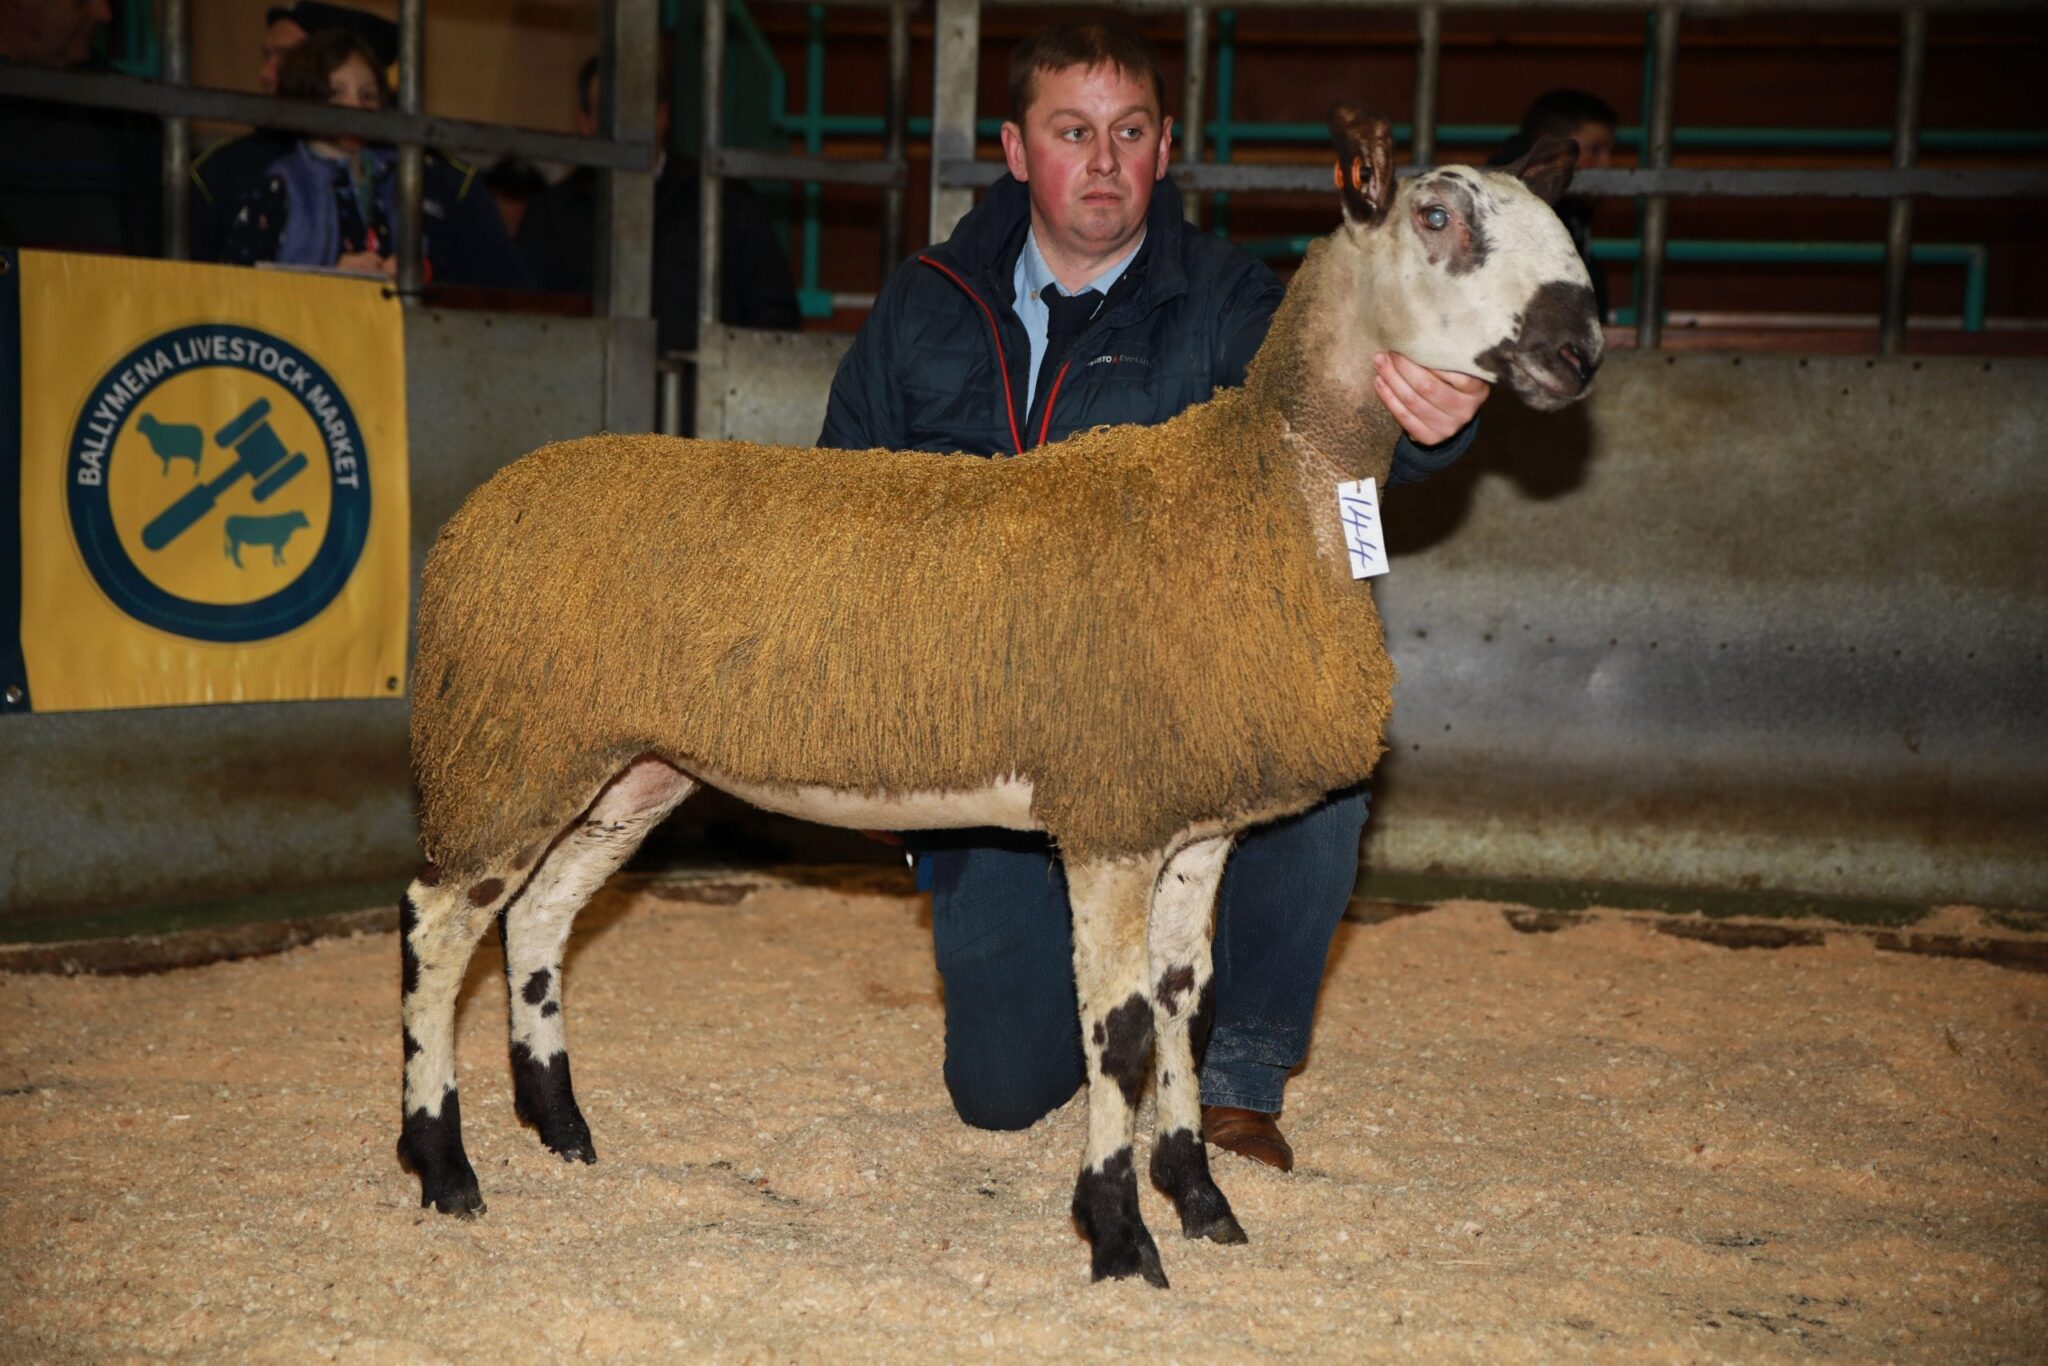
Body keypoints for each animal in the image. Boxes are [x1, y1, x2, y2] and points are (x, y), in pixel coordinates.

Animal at [395, 109, 1597, 1294]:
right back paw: (441, 1163)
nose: (1579, 349)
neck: (1261, 490)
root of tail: (478, 516)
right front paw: (1119, 1237)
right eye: (1436, 216)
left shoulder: (1194, 823)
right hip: (513, 743)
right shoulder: (1111, 818)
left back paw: (560, 1127)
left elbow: (1183, 1010)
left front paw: (1200, 1199)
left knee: (538, 917)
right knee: (438, 924)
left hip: (627, 766)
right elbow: (1118, 1034)